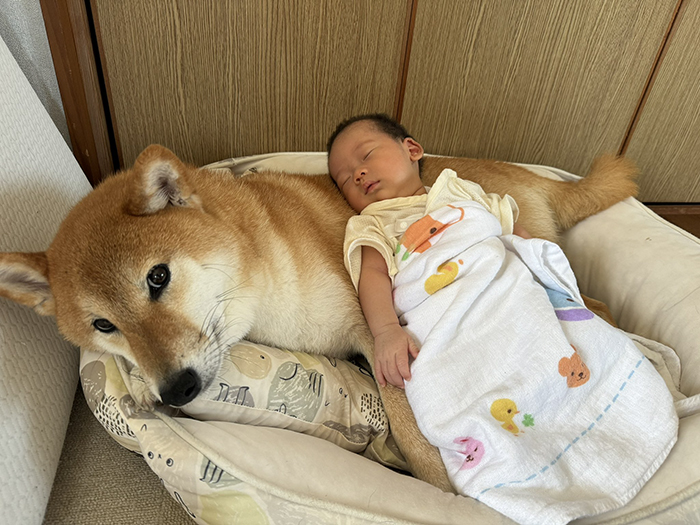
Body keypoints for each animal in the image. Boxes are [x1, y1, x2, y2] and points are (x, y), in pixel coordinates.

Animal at [0, 144, 636, 492]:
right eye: (104, 327)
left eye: (158, 278)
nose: (175, 390)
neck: (267, 274)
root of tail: (536, 177)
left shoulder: (372, 328)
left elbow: (406, 416)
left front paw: (446, 489)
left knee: (596, 305)